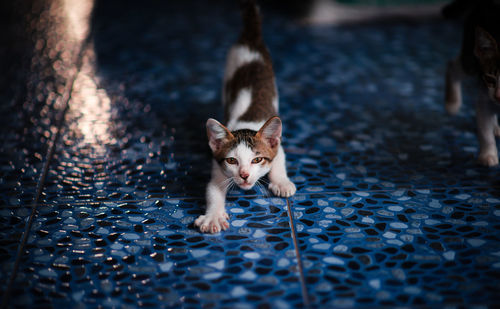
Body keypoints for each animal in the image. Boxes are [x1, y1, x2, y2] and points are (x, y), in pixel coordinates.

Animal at [194, 0, 296, 231]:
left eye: (257, 159)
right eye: (232, 161)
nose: (244, 175)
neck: (246, 125)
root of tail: (250, 37)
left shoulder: (277, 146)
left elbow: (279, 159)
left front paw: (281, 182)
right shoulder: (218, 165)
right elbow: (213, 190)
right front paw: (213, 216)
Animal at [446, 0, 500, 166]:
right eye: (490, 78)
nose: (498, 96)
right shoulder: (484, 94)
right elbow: (484, 130)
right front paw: (488, 155)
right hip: (470, 57)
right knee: (453, 65)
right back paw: (451, 102)